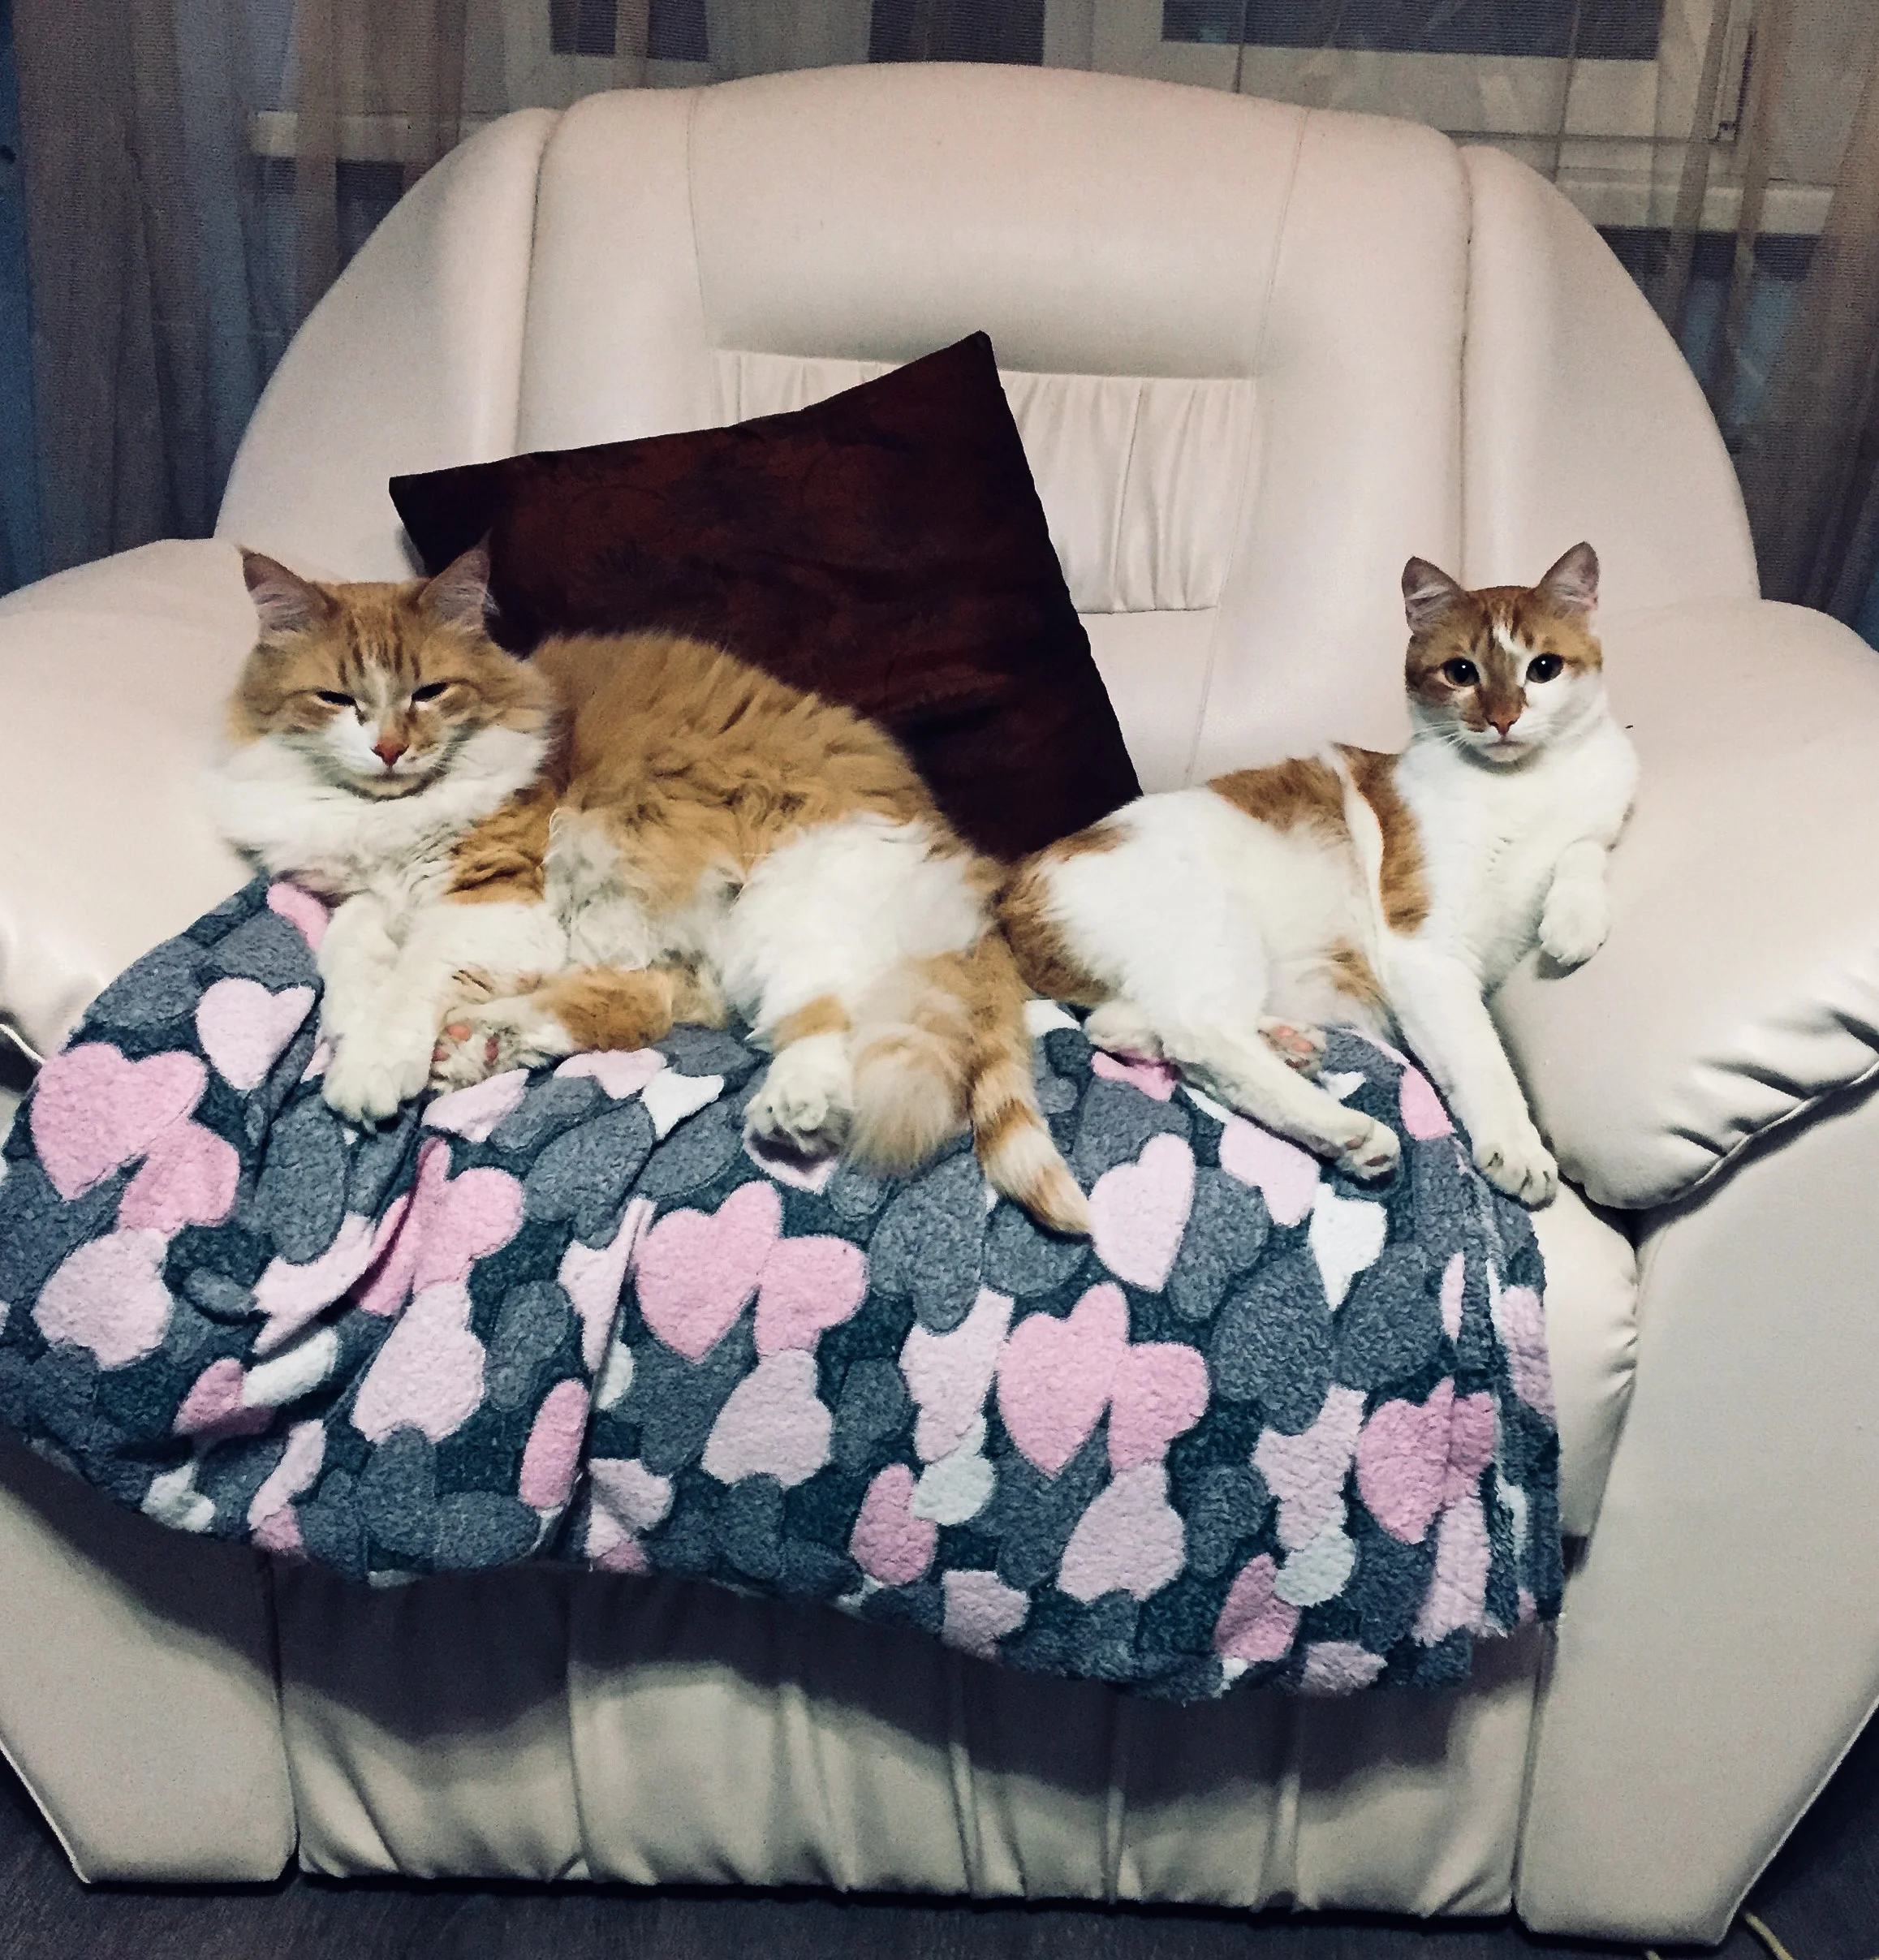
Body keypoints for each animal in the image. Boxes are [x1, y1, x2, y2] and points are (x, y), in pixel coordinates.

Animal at [204, 544, 1091, 1237]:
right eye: (336, 699)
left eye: (428, 692)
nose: (389, 748)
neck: (390, 812)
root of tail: (961, 857)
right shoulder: (376, 892)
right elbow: (348, 942)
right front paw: (353, 1023)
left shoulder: (493, 897)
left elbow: (412, 976)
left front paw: (367, 1067)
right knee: (633, 1008)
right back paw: (479, 1045)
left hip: (789, 894)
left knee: (821, 1016)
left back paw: (793, 1107)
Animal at [999, 543, 1637, 1207]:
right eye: (1461, 673)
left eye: (1543, 668)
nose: (1504, 719)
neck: (1524, 787)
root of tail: (1013, 886)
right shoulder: (1424, 952)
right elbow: (1481, 1058)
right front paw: (1516, 1145)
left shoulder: (1596, 816)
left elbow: (1583, 848)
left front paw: (1575, 920)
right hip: (1210, 919)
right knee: (1197, 1033)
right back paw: (1345, 1131)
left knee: (1122, 1025)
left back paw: (1288, 1045)